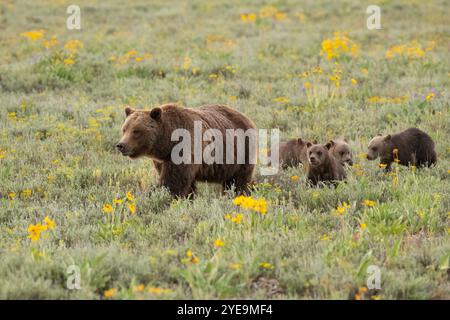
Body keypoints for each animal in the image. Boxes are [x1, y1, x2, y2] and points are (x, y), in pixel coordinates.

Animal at [116, 104, 256, 196]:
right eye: (124, 129)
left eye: (136, 131)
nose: (121, 145)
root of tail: (247, 118)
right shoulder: (163, 160)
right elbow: (185, 183)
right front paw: (189, 197)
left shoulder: (184, 149)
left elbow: (173, 182)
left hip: (242, 151)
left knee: (238, 180)